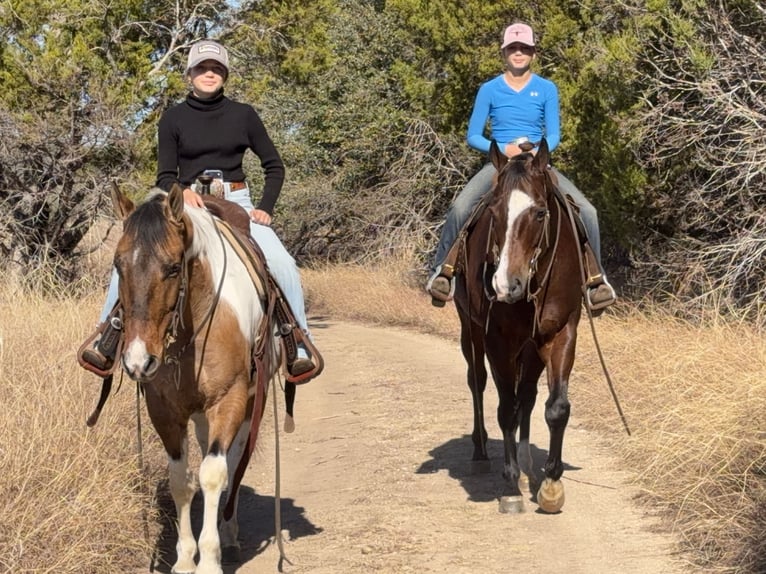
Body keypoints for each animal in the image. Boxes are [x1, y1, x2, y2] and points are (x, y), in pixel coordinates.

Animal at [111, 184, 279, 574]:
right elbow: (181, 480)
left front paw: (209, 559)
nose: (138, 360)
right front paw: (186, 558)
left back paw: (229, 535)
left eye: (173, 268)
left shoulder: (230, 401)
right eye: (117, 265)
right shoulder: (164, 410)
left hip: (249, 404)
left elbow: (215, 475)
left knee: (234, 463)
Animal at [453, 138, 583, 514]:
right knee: (478, 383)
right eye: (493, 213)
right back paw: (483, 453)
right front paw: (510, 486)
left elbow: (556, 407)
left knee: (526, 393)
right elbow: (505, 408)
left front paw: (551, 484)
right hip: (470, 330)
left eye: (540, 213)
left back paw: (526, 467)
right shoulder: (497, 340)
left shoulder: (561, 332)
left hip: (531, 348)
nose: (504, 286)